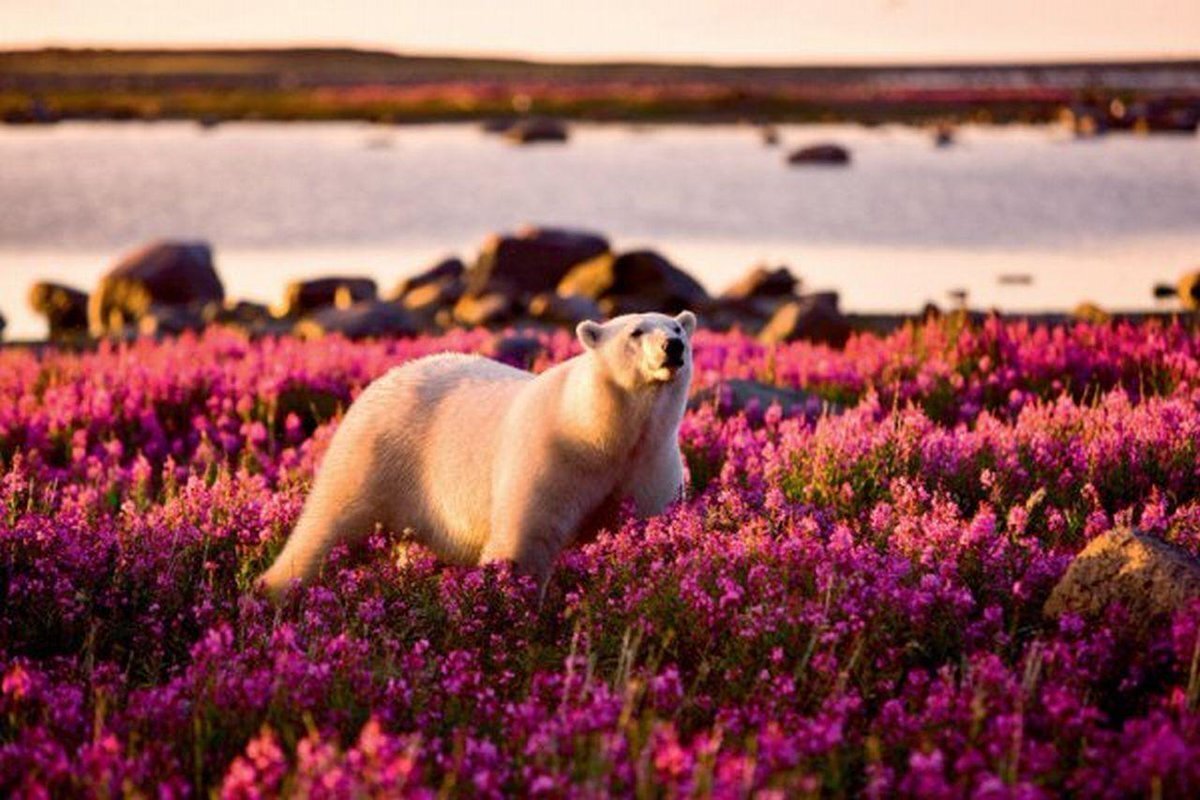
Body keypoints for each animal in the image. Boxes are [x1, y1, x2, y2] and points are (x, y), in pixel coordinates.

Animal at [258, 311, 700, 599]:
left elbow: (647, 533)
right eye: (636, 331)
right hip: (374, 454)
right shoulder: (555, 457)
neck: (602, 431)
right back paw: (275, 590)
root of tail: (382, 380)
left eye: (678, 326)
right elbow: (525, 542)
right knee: (328, 526)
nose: (673, 346)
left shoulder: (649, 467)